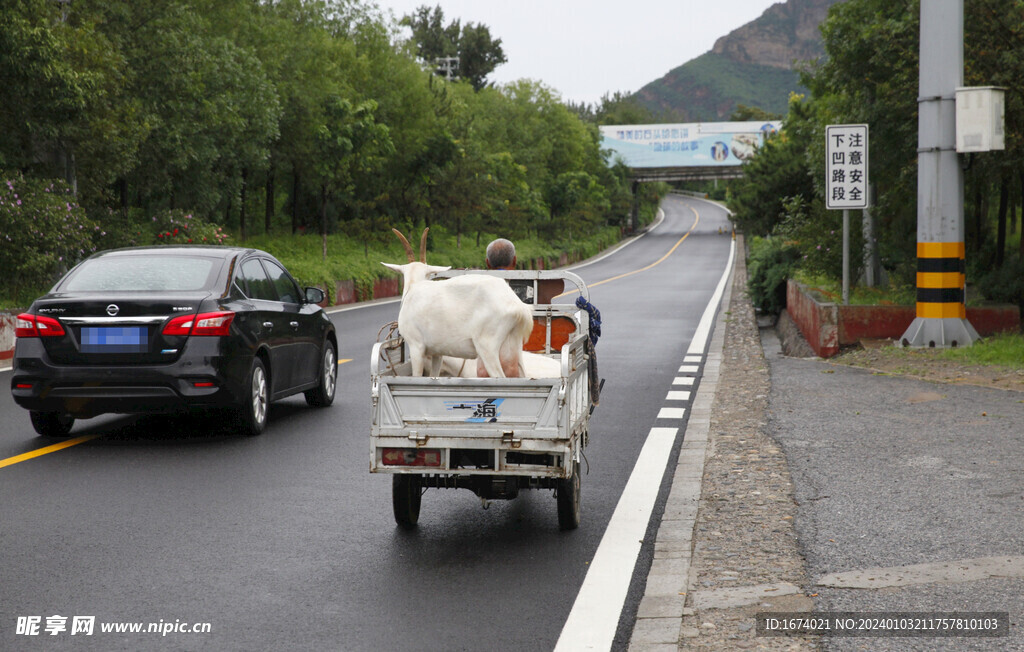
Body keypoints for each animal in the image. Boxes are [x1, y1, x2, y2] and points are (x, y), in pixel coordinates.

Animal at [385, 229, 536, 378]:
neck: (413, 287)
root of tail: (518, 306)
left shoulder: (416, 347)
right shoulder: (437, 352)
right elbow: (435, 375)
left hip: (487, 345)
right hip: (514, 345)